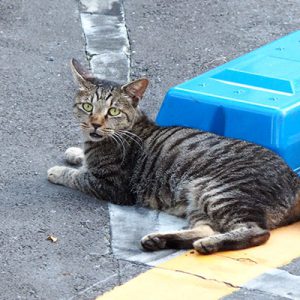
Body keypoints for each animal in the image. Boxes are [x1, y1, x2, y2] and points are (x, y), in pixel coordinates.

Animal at [47, 59, 300, 255]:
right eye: (87, 107)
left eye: (113, 111)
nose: (95, 124)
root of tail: (294, 179)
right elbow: (82, 160)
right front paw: (74, 152)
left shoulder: (111, 186)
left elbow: (77, 176)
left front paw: (58, 171)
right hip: (198, 199)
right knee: (207, 228)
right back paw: (159, 239)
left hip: (220, 193)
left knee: (257, 232)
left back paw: (209, 245)